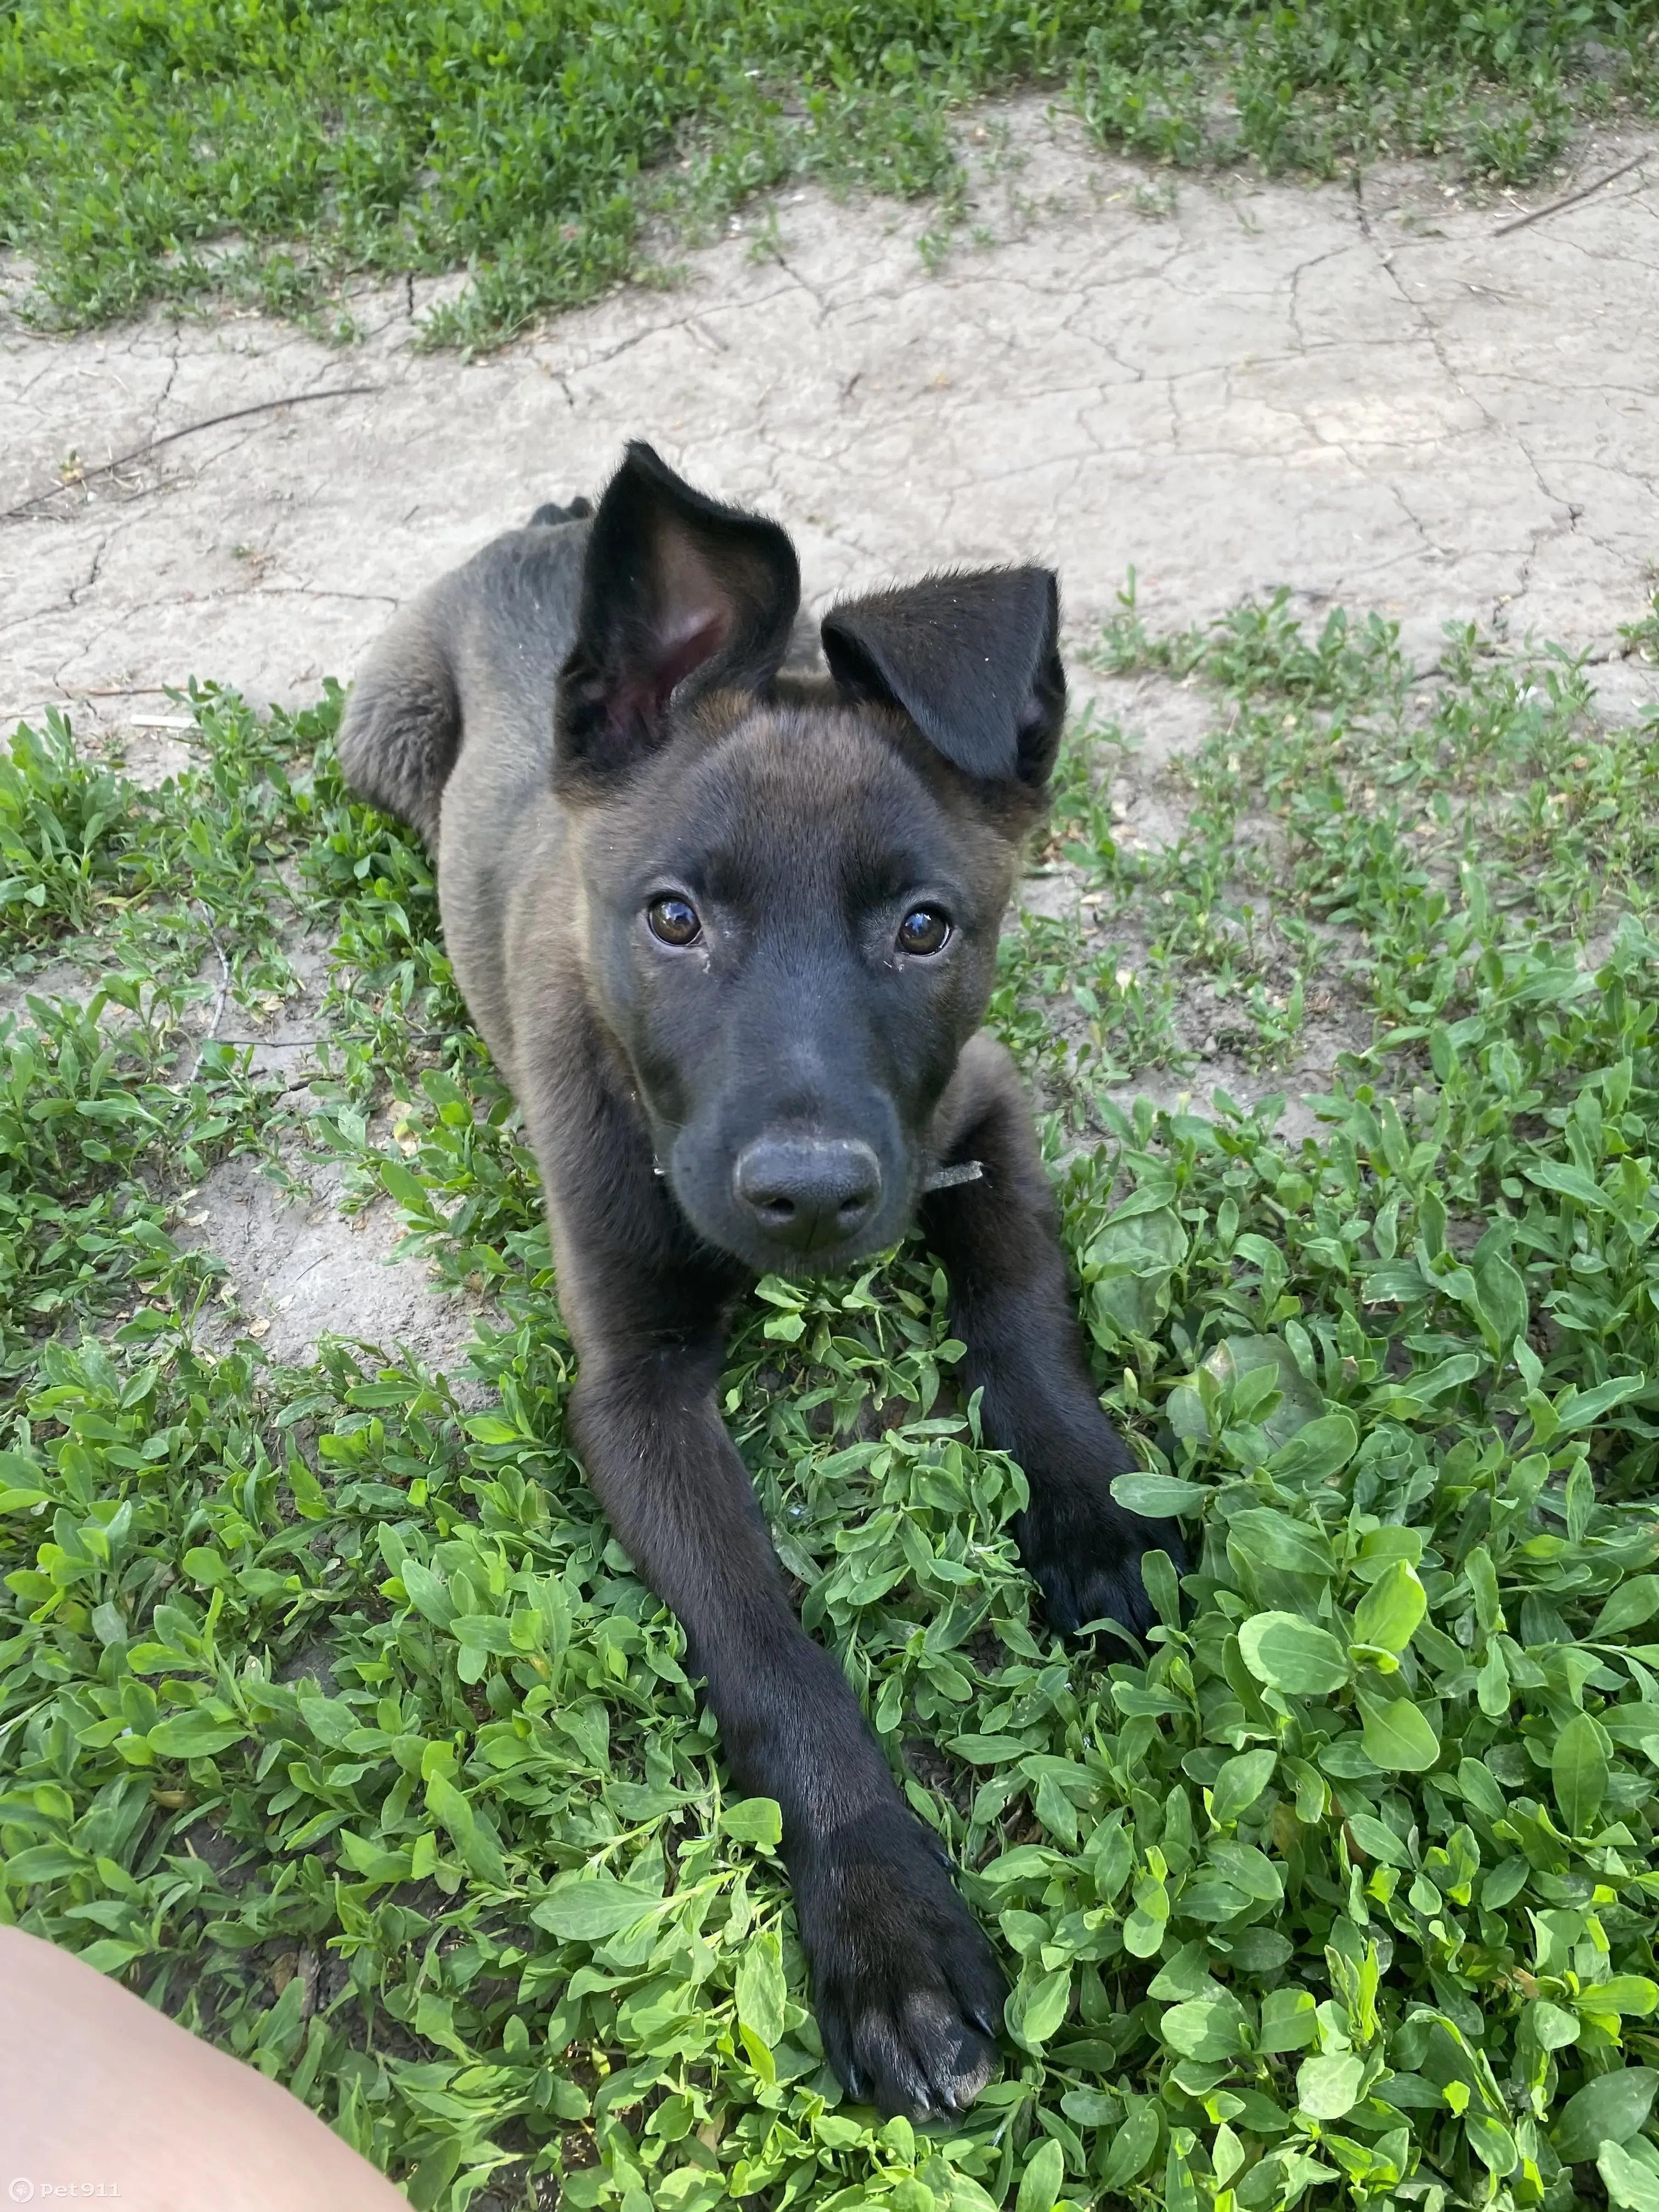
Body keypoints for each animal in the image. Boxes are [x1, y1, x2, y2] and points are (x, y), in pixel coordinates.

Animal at [345, 440, 1186, 2114]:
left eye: (925, 927)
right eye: (673, 917)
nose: (806, 1197)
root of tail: (546, 533)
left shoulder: (979, 1114)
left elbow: (1025, 1320)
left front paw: (1093, 1514)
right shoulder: (633, 1389)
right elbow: (767, 1643)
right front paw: (883, 1921)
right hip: (382, 738)